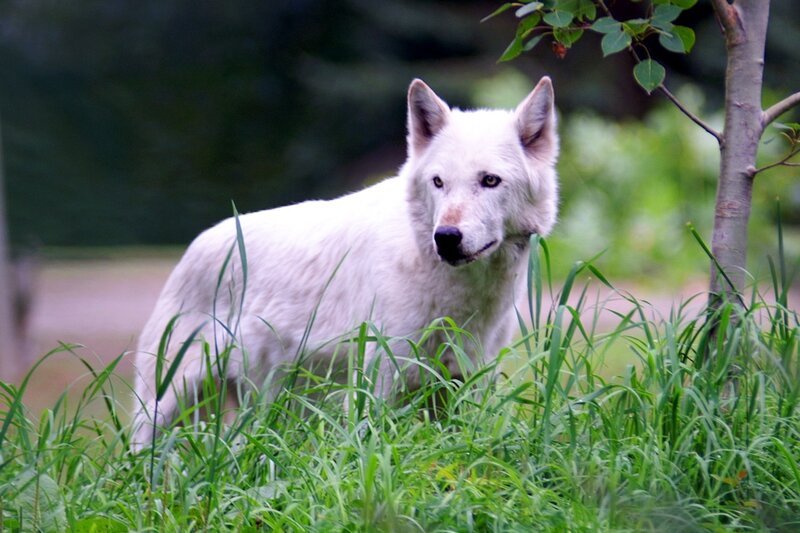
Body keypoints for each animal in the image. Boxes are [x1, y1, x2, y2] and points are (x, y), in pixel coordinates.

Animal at [131, 77, 559, 449]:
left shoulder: (466, 383)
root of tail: (194, 245)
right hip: (164, 406)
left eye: (490, 181)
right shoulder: (380, 379)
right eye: (438, 182)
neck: (461, 296)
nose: (446, 238)